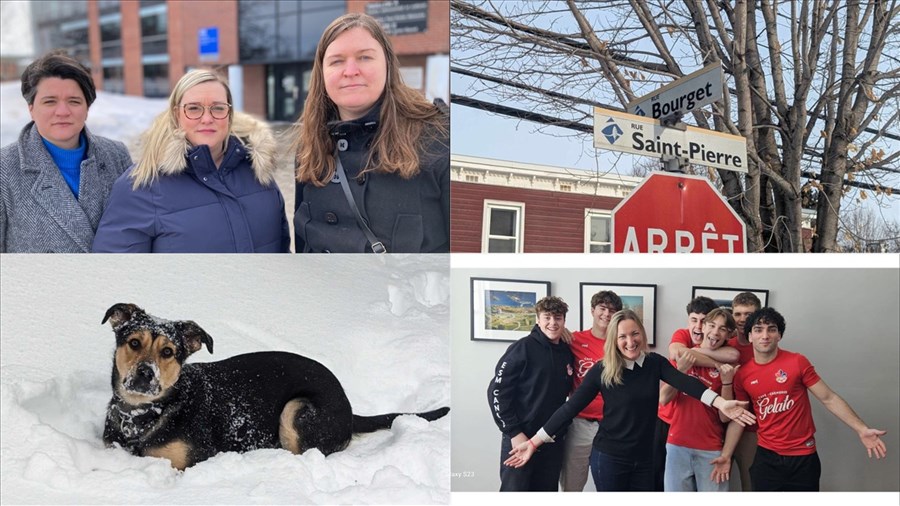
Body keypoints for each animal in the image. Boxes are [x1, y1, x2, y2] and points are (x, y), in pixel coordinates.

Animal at [102, 302, 450, 468]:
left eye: (168, 352)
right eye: (134, 343)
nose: (145, 374)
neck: (143, 413)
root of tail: (349, 408)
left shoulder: (190, 462)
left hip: (297, 408)